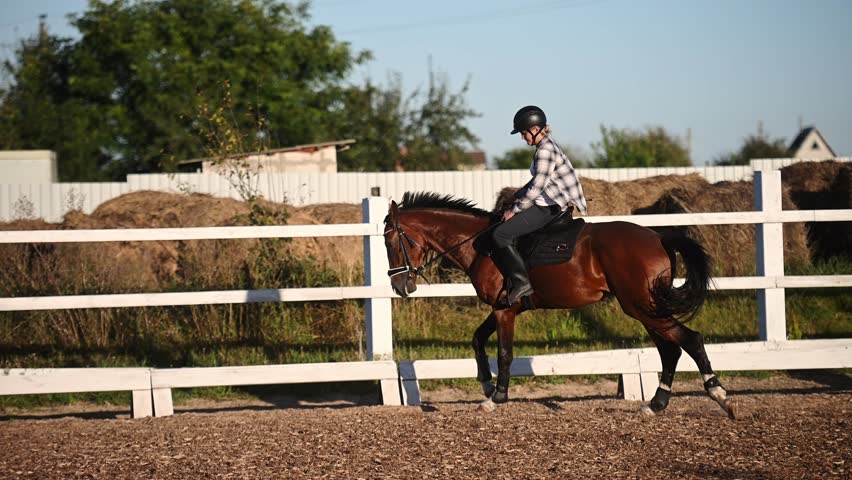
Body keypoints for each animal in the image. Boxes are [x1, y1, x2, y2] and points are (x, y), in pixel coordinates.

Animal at [383, 191, 736, 418]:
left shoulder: (504, 310)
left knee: (689, 340)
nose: (400, 286)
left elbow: (505, 352)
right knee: (671, 349)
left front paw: (496, 397)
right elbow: (477, 339)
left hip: (642, 306)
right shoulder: (505, 307)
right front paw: (484, 383)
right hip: (645, 308)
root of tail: (658, 236)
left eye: (389, 240)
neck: (480, 245)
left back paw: (719, 396)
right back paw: (656, 404)